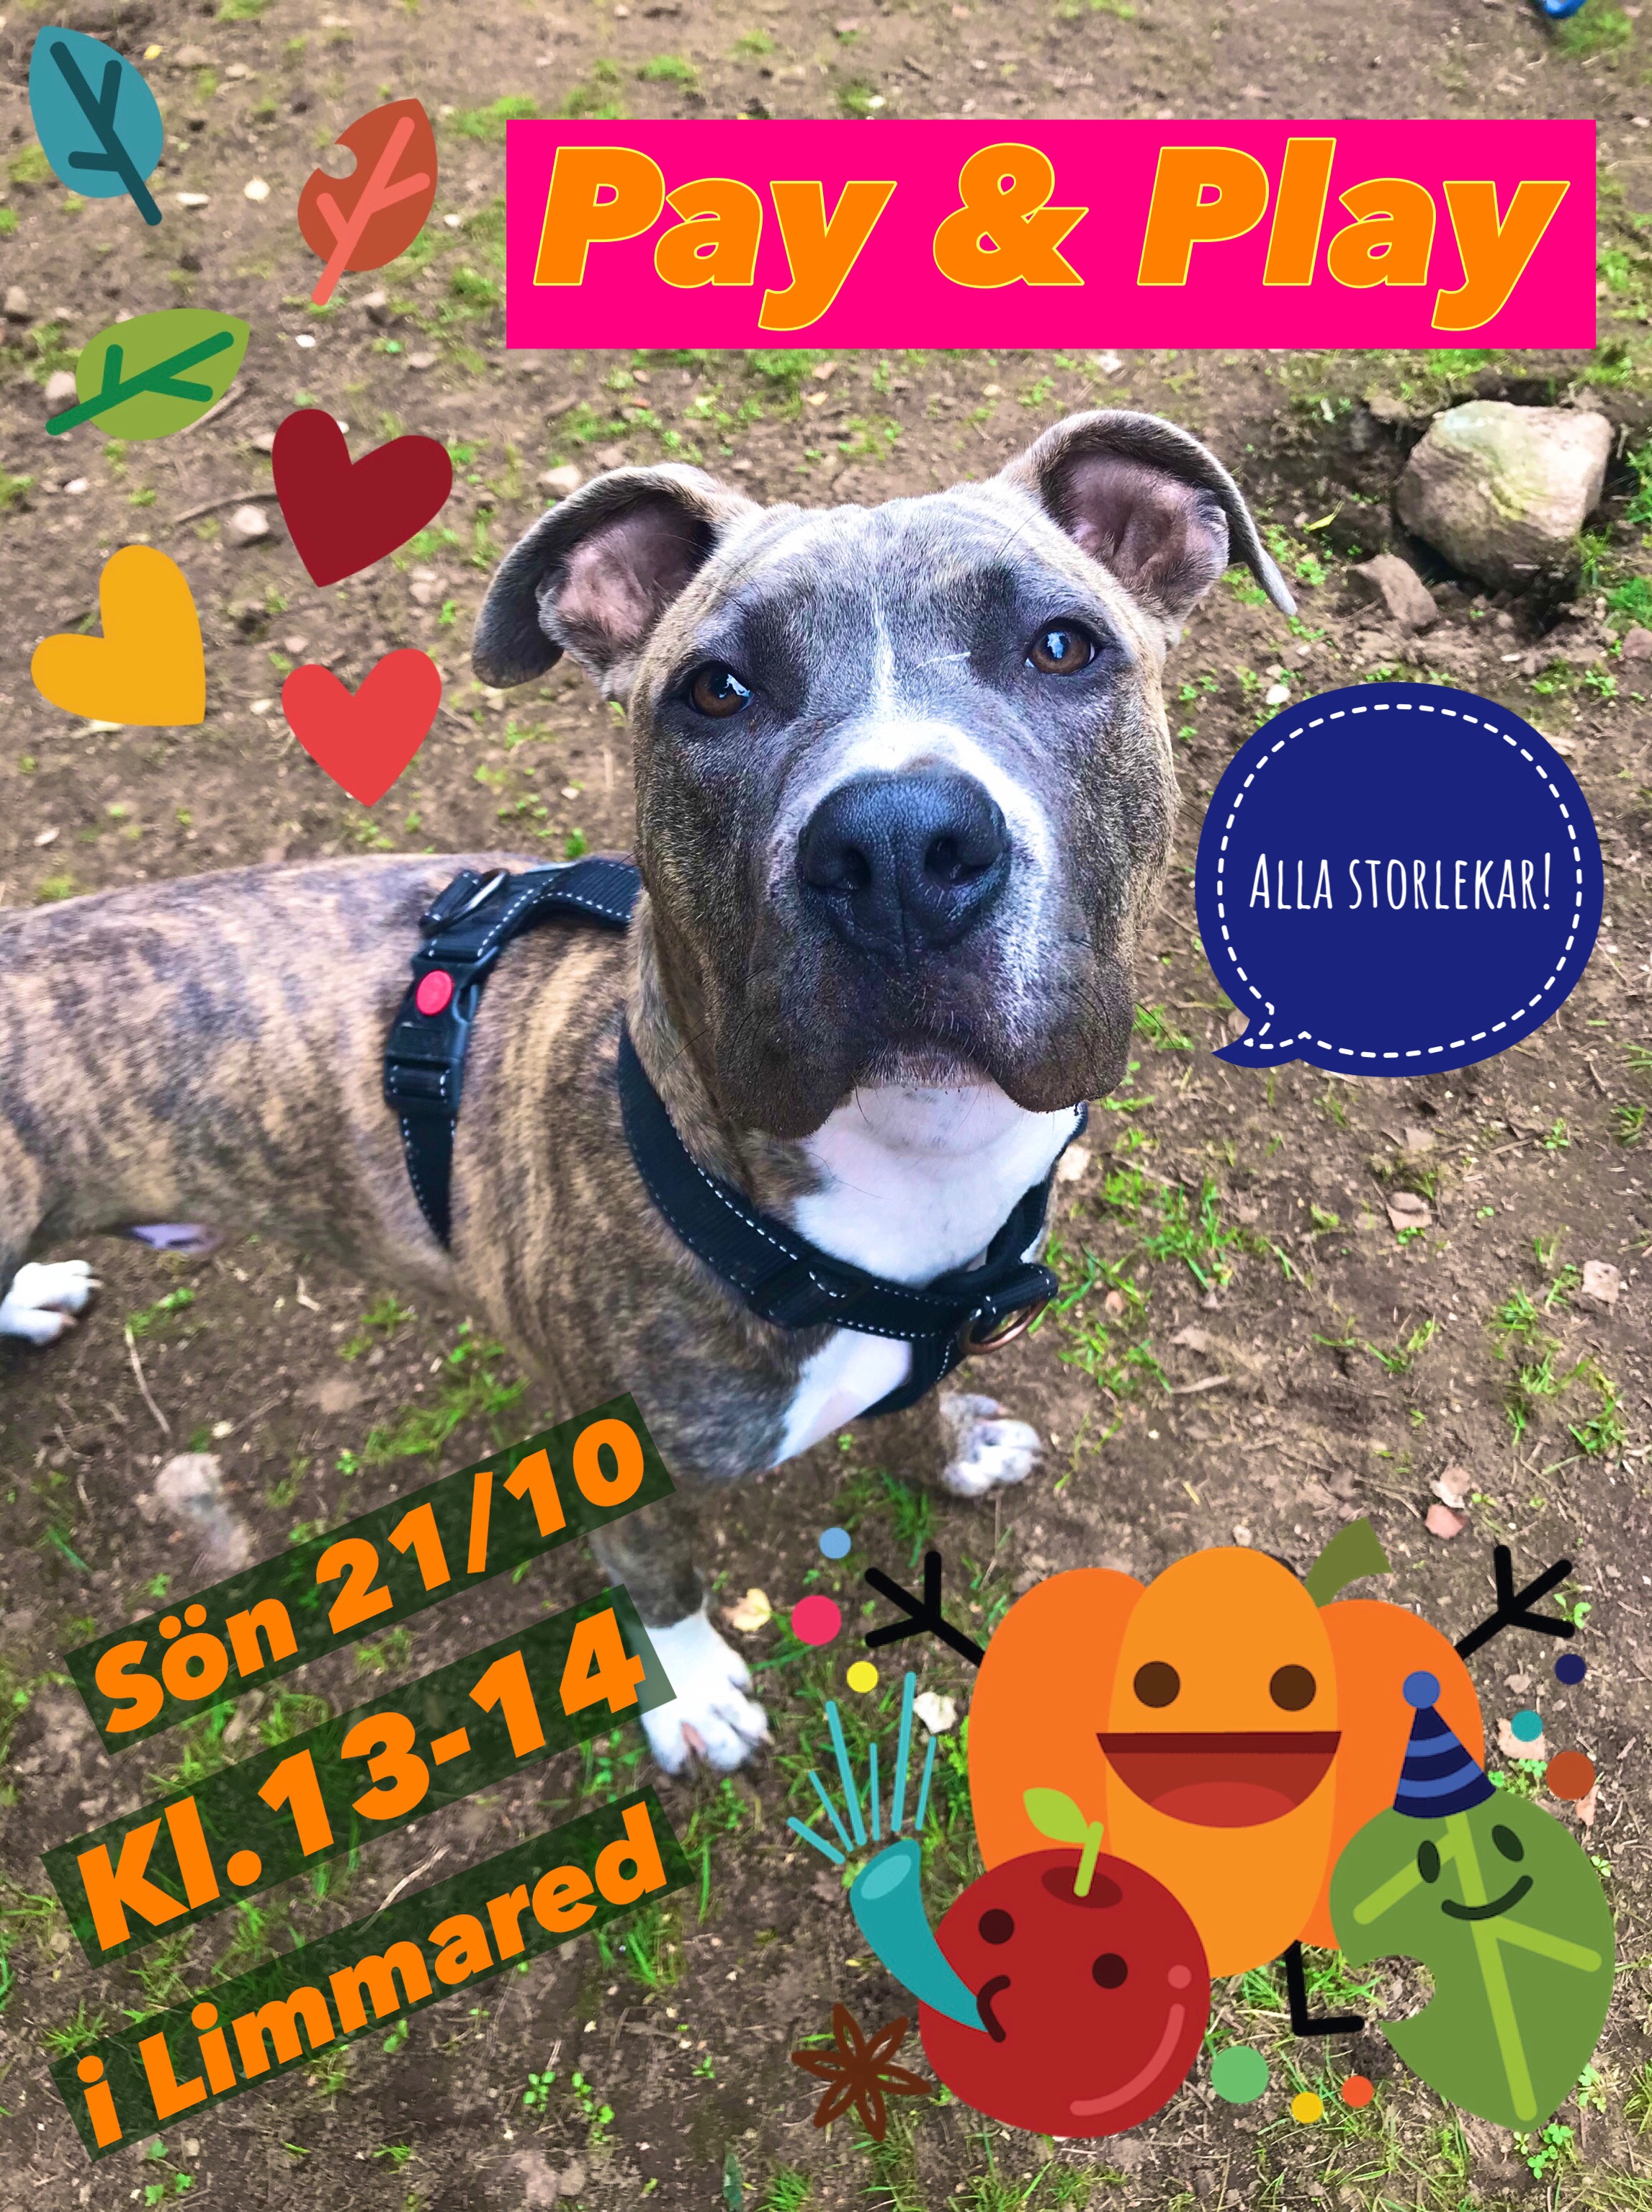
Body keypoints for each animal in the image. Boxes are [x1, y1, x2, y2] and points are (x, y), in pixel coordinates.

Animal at [0, 411, 1290, 1773]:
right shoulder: (613, 1459)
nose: (897, 846)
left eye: (1060, 646)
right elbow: (659, 1575)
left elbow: (916, 1413)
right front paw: (690, 1690)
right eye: (714, 690)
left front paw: (956, 1447)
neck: (897, 1175)